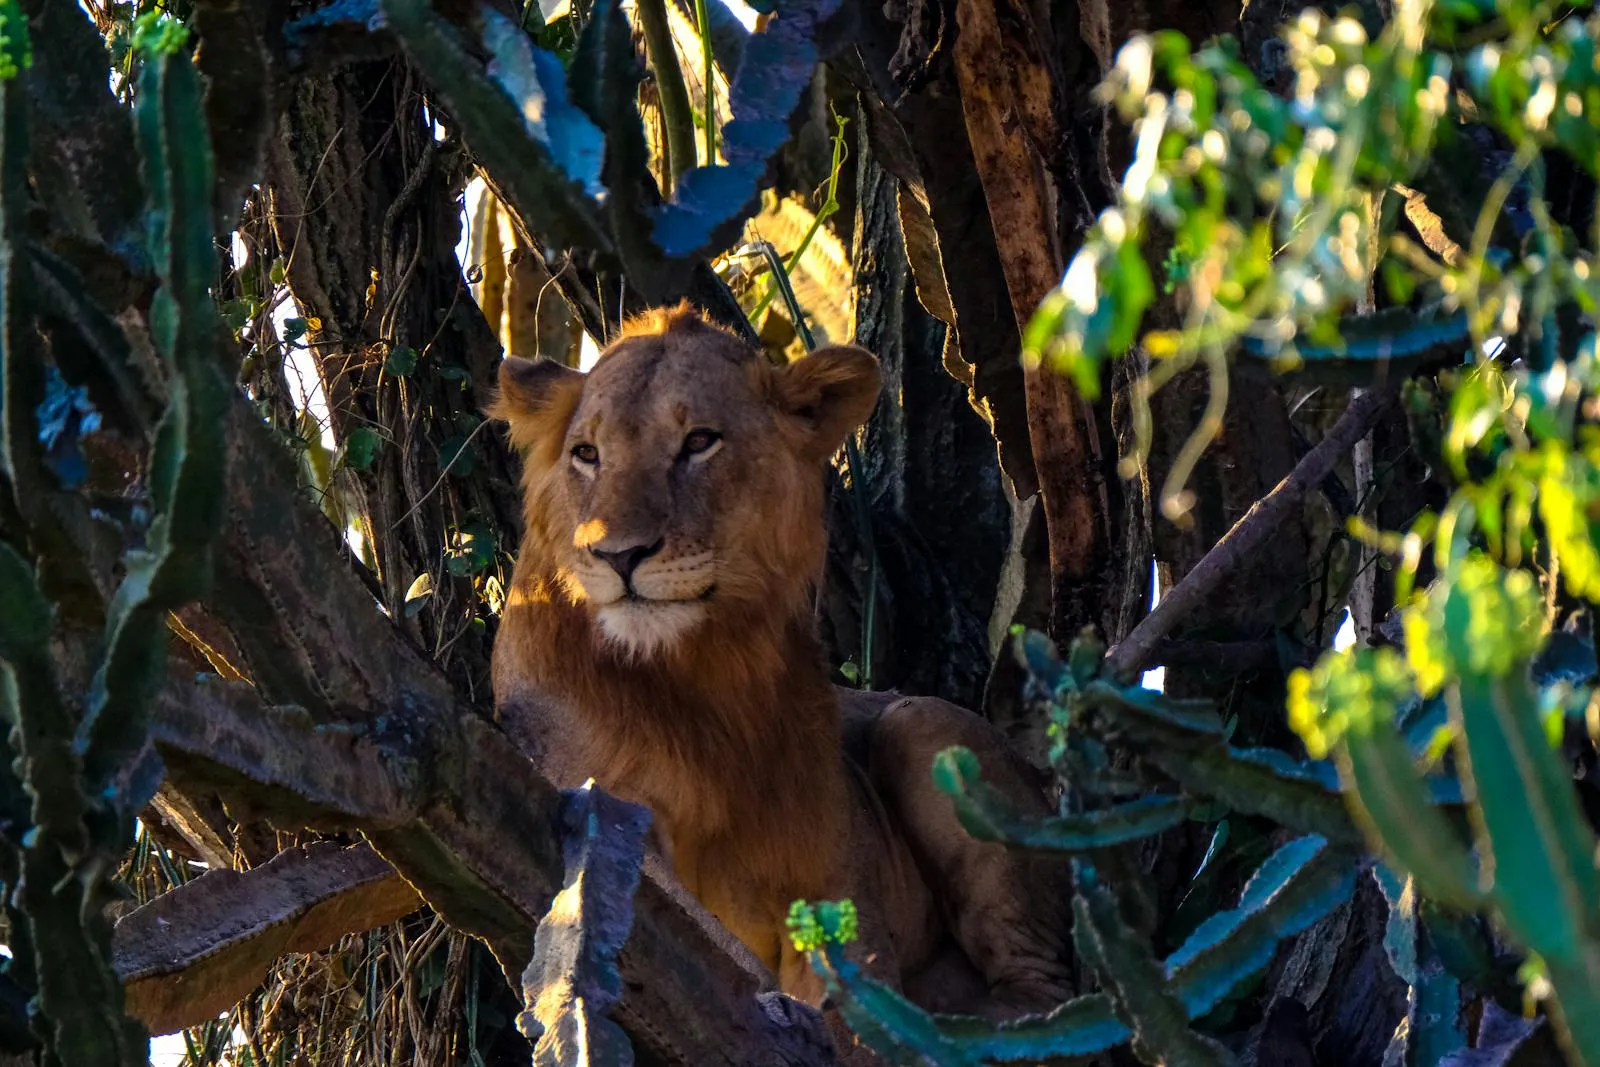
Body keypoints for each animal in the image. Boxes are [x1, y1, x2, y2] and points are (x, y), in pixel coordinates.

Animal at [489, 302, 1073, 1023]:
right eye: (587, 454)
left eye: (699, 442)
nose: (618, 555)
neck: (704, 671)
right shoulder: (606, 814)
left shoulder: (839, 889)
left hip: (922, 724)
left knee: (1053, 988)